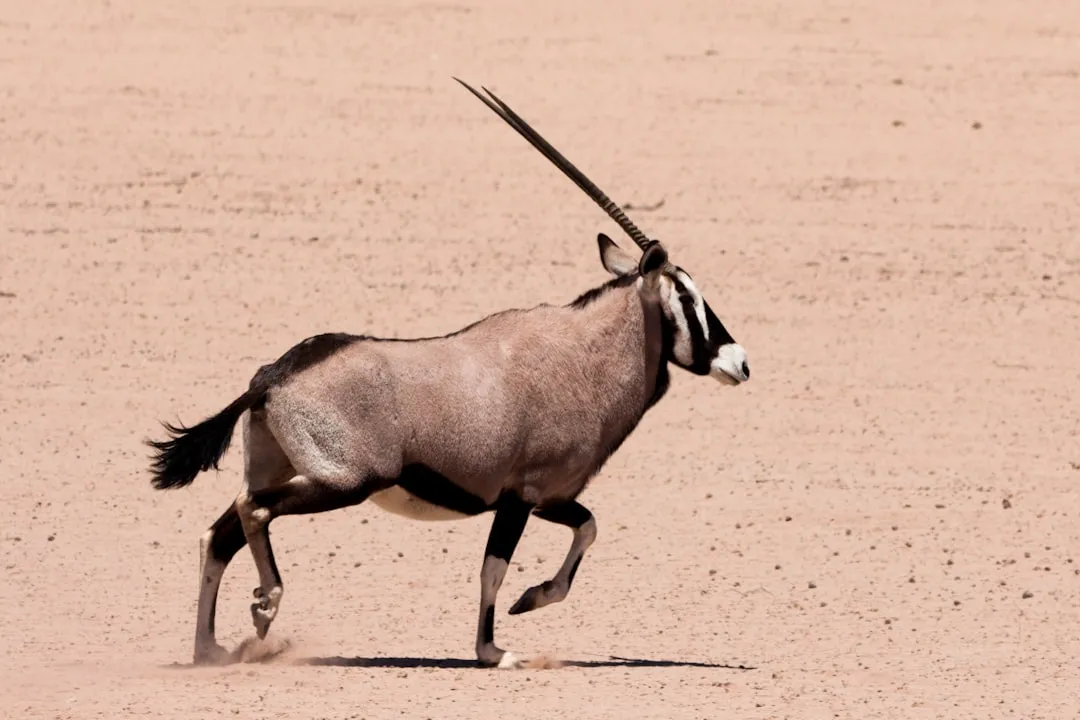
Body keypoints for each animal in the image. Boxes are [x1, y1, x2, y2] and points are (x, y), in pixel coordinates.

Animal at [146, 78, 750, 669]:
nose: (739, 362)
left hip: (283, 471)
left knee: (218, 535)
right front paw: (494, 650)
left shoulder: (551, 498)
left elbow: (589, 527)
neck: (583, 354)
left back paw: (210, 649)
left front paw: (532, 600)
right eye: (687, 296)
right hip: (342, 482)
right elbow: (494, 568)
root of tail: (272, 376)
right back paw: (264, 608)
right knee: (253, 513)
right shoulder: (521, 495)